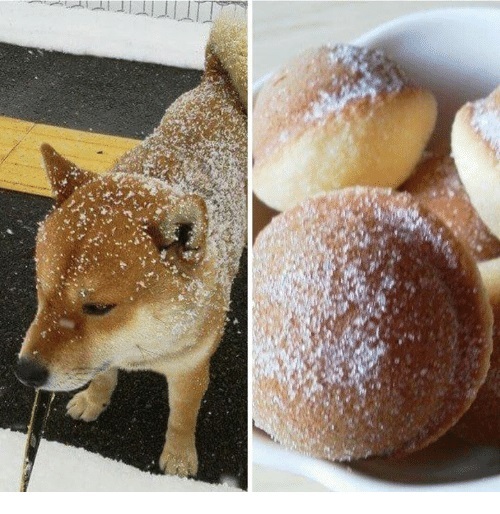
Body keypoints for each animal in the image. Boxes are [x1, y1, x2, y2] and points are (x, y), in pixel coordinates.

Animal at [14, 15, 249, 476]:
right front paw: (94, 399)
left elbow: (183, 415)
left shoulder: (191, 367)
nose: (25, 372)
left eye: (98, 307)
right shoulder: (108, 354)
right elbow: (104, 373)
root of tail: (221, 83)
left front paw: (179, 456)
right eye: (42, 292)